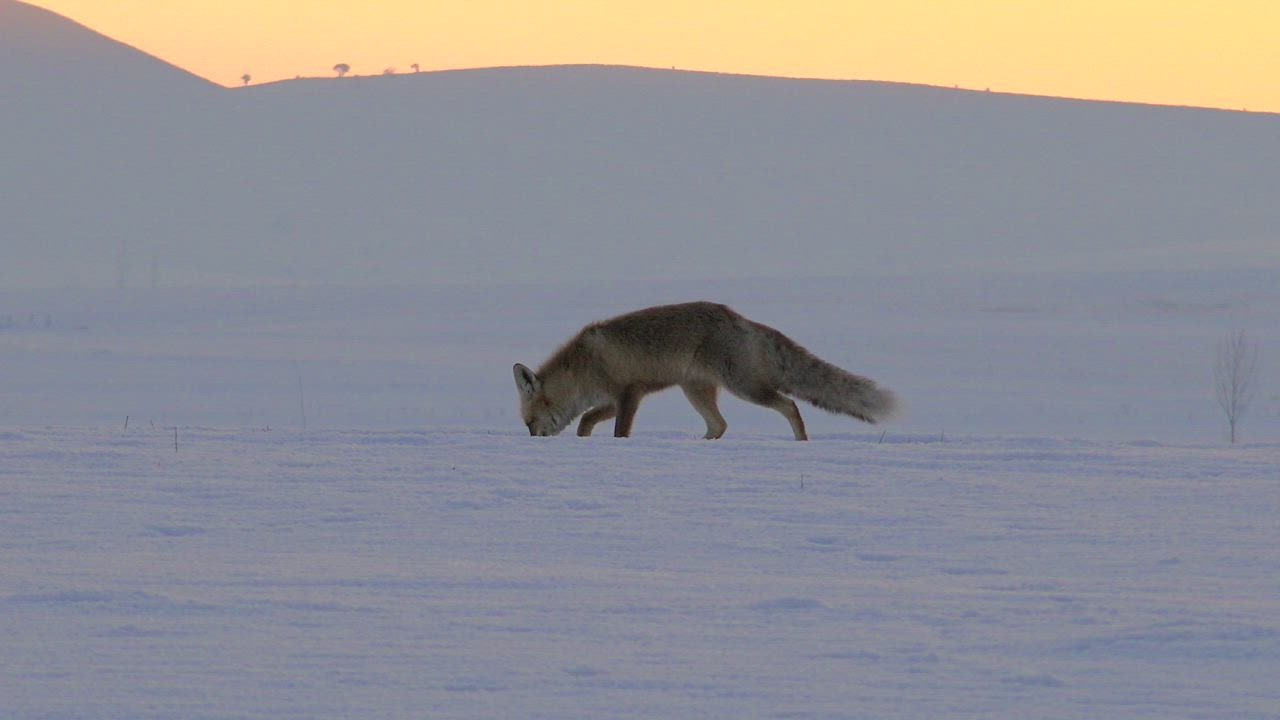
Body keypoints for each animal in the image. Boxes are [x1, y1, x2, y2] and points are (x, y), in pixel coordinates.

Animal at [512, 301, 897, 440]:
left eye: (530, 422)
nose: (534, 441)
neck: (583, 366)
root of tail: (740, 318)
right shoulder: (612, 399)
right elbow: (586, 421)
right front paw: (584, 440)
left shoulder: (630, 393)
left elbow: (619, 431)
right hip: (695, 390)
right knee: (719, 425)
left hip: (745, 387)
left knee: (789, 405)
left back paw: (801, 442)